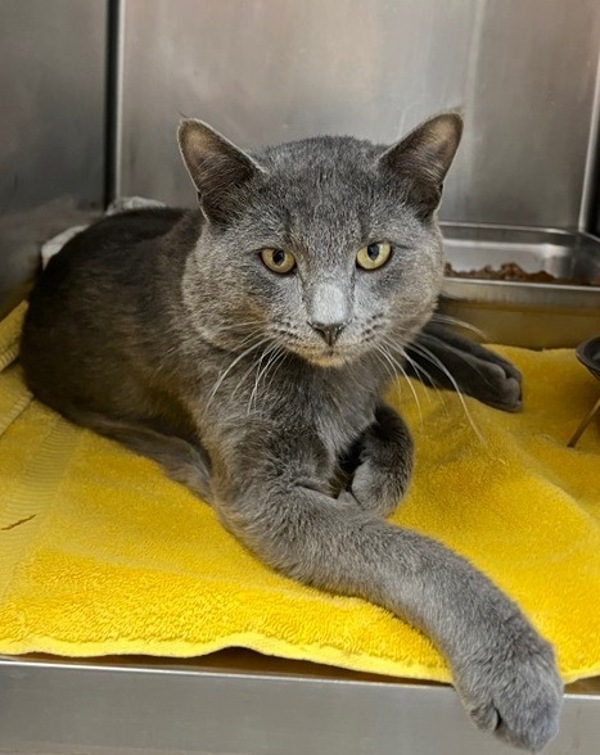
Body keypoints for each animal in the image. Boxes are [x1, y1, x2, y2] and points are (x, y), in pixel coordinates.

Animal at [19, 112, 564, 752]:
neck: (333, 377)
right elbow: (407, 550)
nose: (329, 325)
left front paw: (370, 480)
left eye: (374, 253)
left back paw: (493, 373)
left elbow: (387, 420)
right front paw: (518, 671)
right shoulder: (265, 492)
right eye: (277, 259)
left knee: (416, 334)